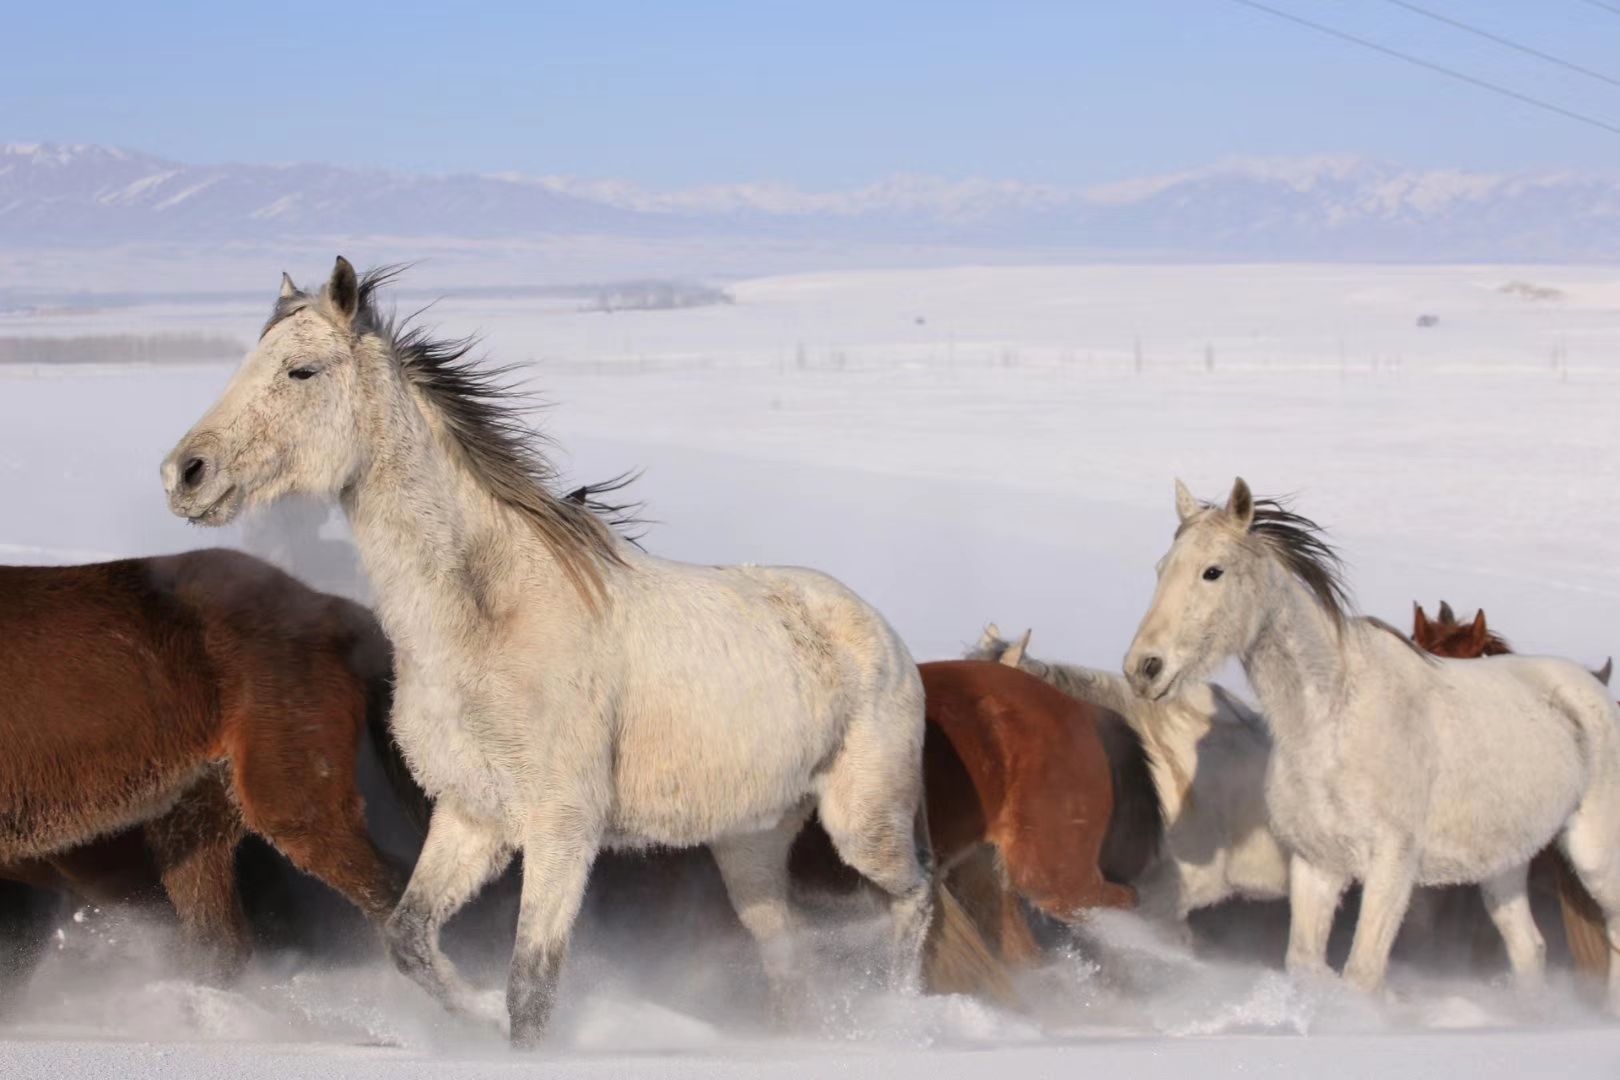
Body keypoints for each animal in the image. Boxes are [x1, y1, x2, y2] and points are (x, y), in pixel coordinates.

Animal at [160, 258, 1005, 1045]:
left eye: (301, 371)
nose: (184, 473)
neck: (491, 619)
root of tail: (882, 633)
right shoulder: (473, 816)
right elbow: (409, 940)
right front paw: (471, 1014)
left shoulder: (563, 829)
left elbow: (531, 989)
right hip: (751, 843)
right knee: (788, 948)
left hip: (865, 822)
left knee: (913, 901)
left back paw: (895, 1018)